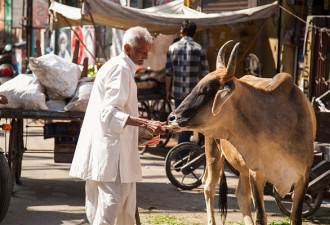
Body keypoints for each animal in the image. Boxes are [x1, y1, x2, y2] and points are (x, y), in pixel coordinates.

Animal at [169, 40, 316, 225]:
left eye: (207, 88)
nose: (172, 117)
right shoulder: (256, 174)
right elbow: (260, 216)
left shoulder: (302, 178)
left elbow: (295, 217)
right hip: (213, 151)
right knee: (209, 186)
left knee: (240, 195)